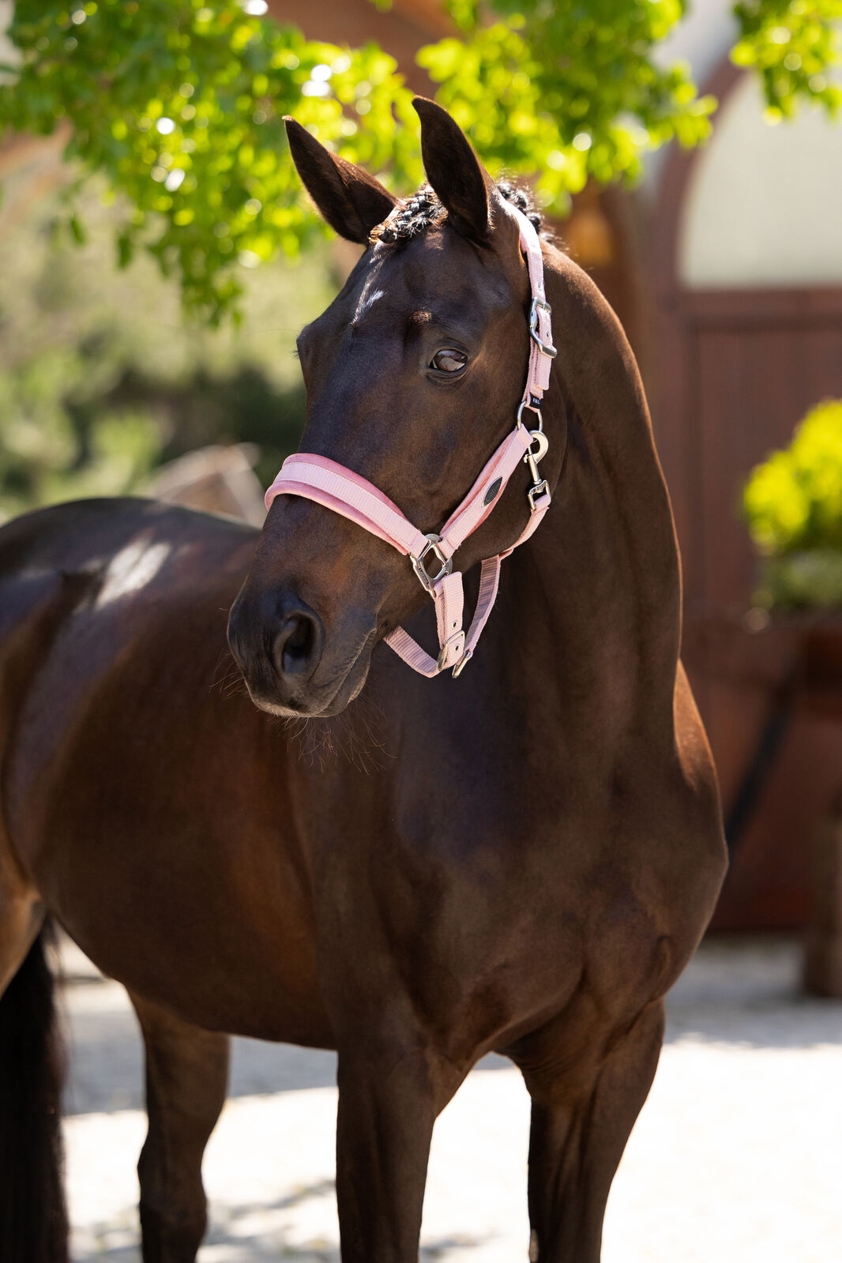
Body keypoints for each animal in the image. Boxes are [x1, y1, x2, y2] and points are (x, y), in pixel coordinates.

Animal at [0, 101, 727, 1263]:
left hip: (177, 988)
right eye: (307, 349)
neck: (592, 755)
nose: (272, 637)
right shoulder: (386, 1073)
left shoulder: (606, 1065)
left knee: (170, 1191)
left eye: (447, 356)